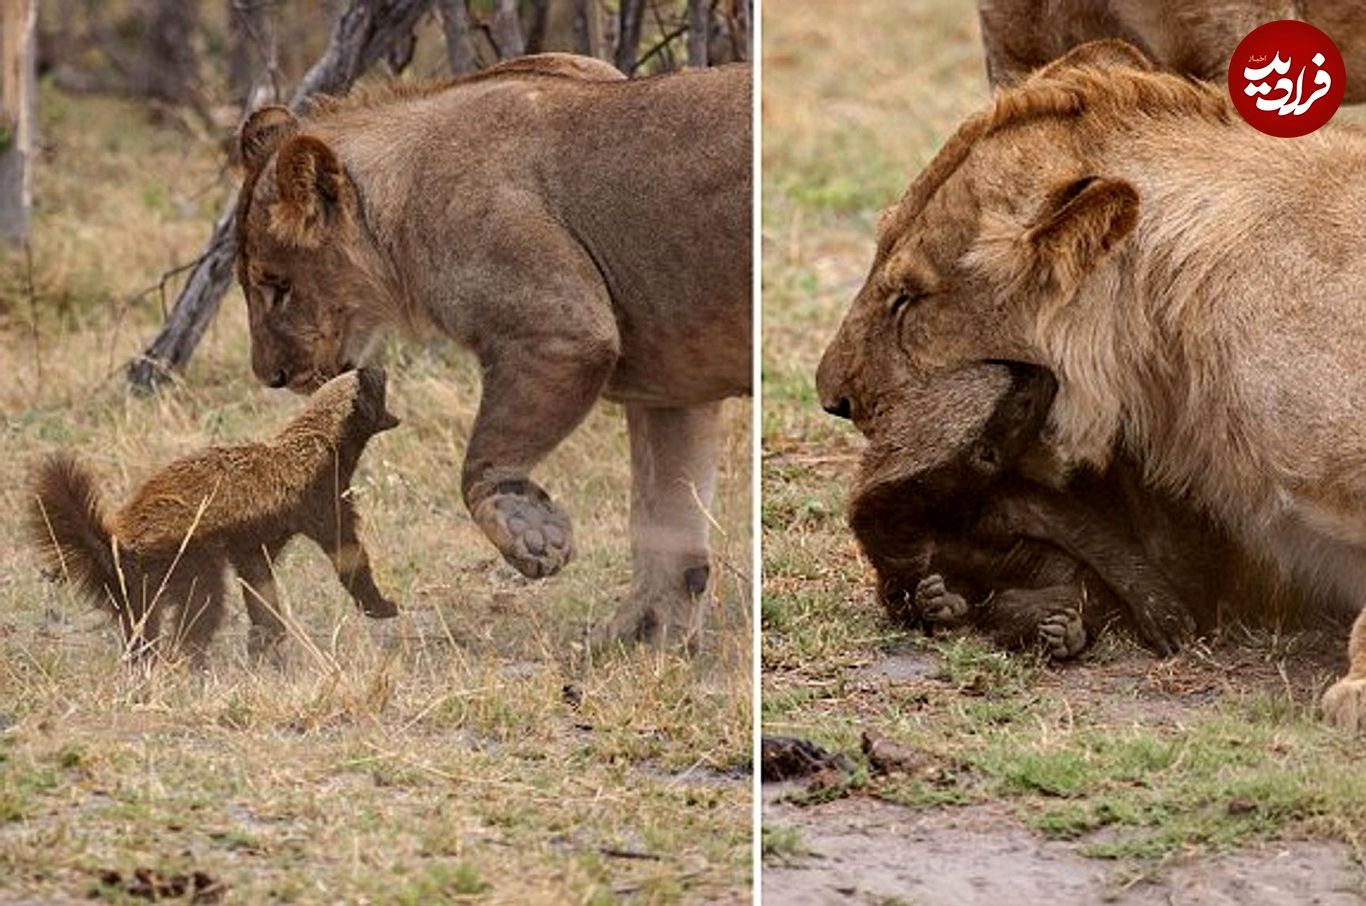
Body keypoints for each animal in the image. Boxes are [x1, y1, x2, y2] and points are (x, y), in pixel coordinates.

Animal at [28, 371, 398, 666]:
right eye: (374, 383)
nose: (379, 366)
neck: (318, 442)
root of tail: (119, 544)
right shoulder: (321, 500)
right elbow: (347, 555)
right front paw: (382, 606)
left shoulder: (253, 542)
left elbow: (259, 584)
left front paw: (266, 640)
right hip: (187, 558)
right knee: (202, 606)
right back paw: (186, 662)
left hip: (143, 586)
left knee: (141, 624)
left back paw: (143, 662)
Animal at [229, 53, 754, 647]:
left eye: (276, 285)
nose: (269, 375)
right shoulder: (672, 386)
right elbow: (666, 518)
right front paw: (640, 637)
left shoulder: (561, 329)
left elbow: (481, 461)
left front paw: (532, 534)